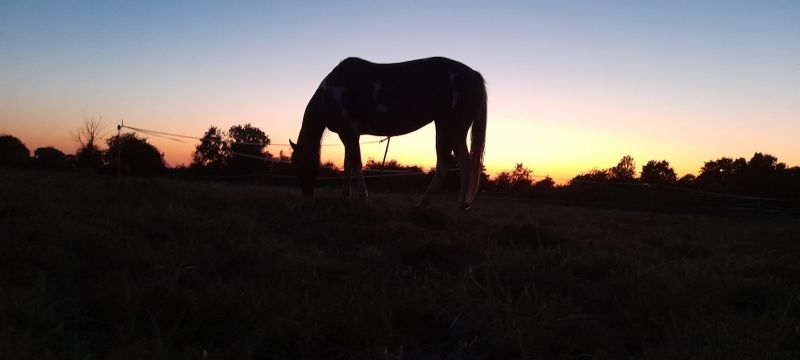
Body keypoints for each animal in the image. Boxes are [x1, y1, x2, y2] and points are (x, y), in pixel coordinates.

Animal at [290, 56, 484, 208]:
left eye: (301, 163)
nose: (307, 194)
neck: (331, 93)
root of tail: (473, 74)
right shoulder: (348, 135)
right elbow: (348, 164)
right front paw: (346, 195)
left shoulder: (349, 132)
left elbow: (356, 163)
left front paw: (363, 197)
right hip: (456, 131)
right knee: (465, 163)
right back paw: (462, 204)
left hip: (447, 127)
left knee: (444, 163)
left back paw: (424, 202)